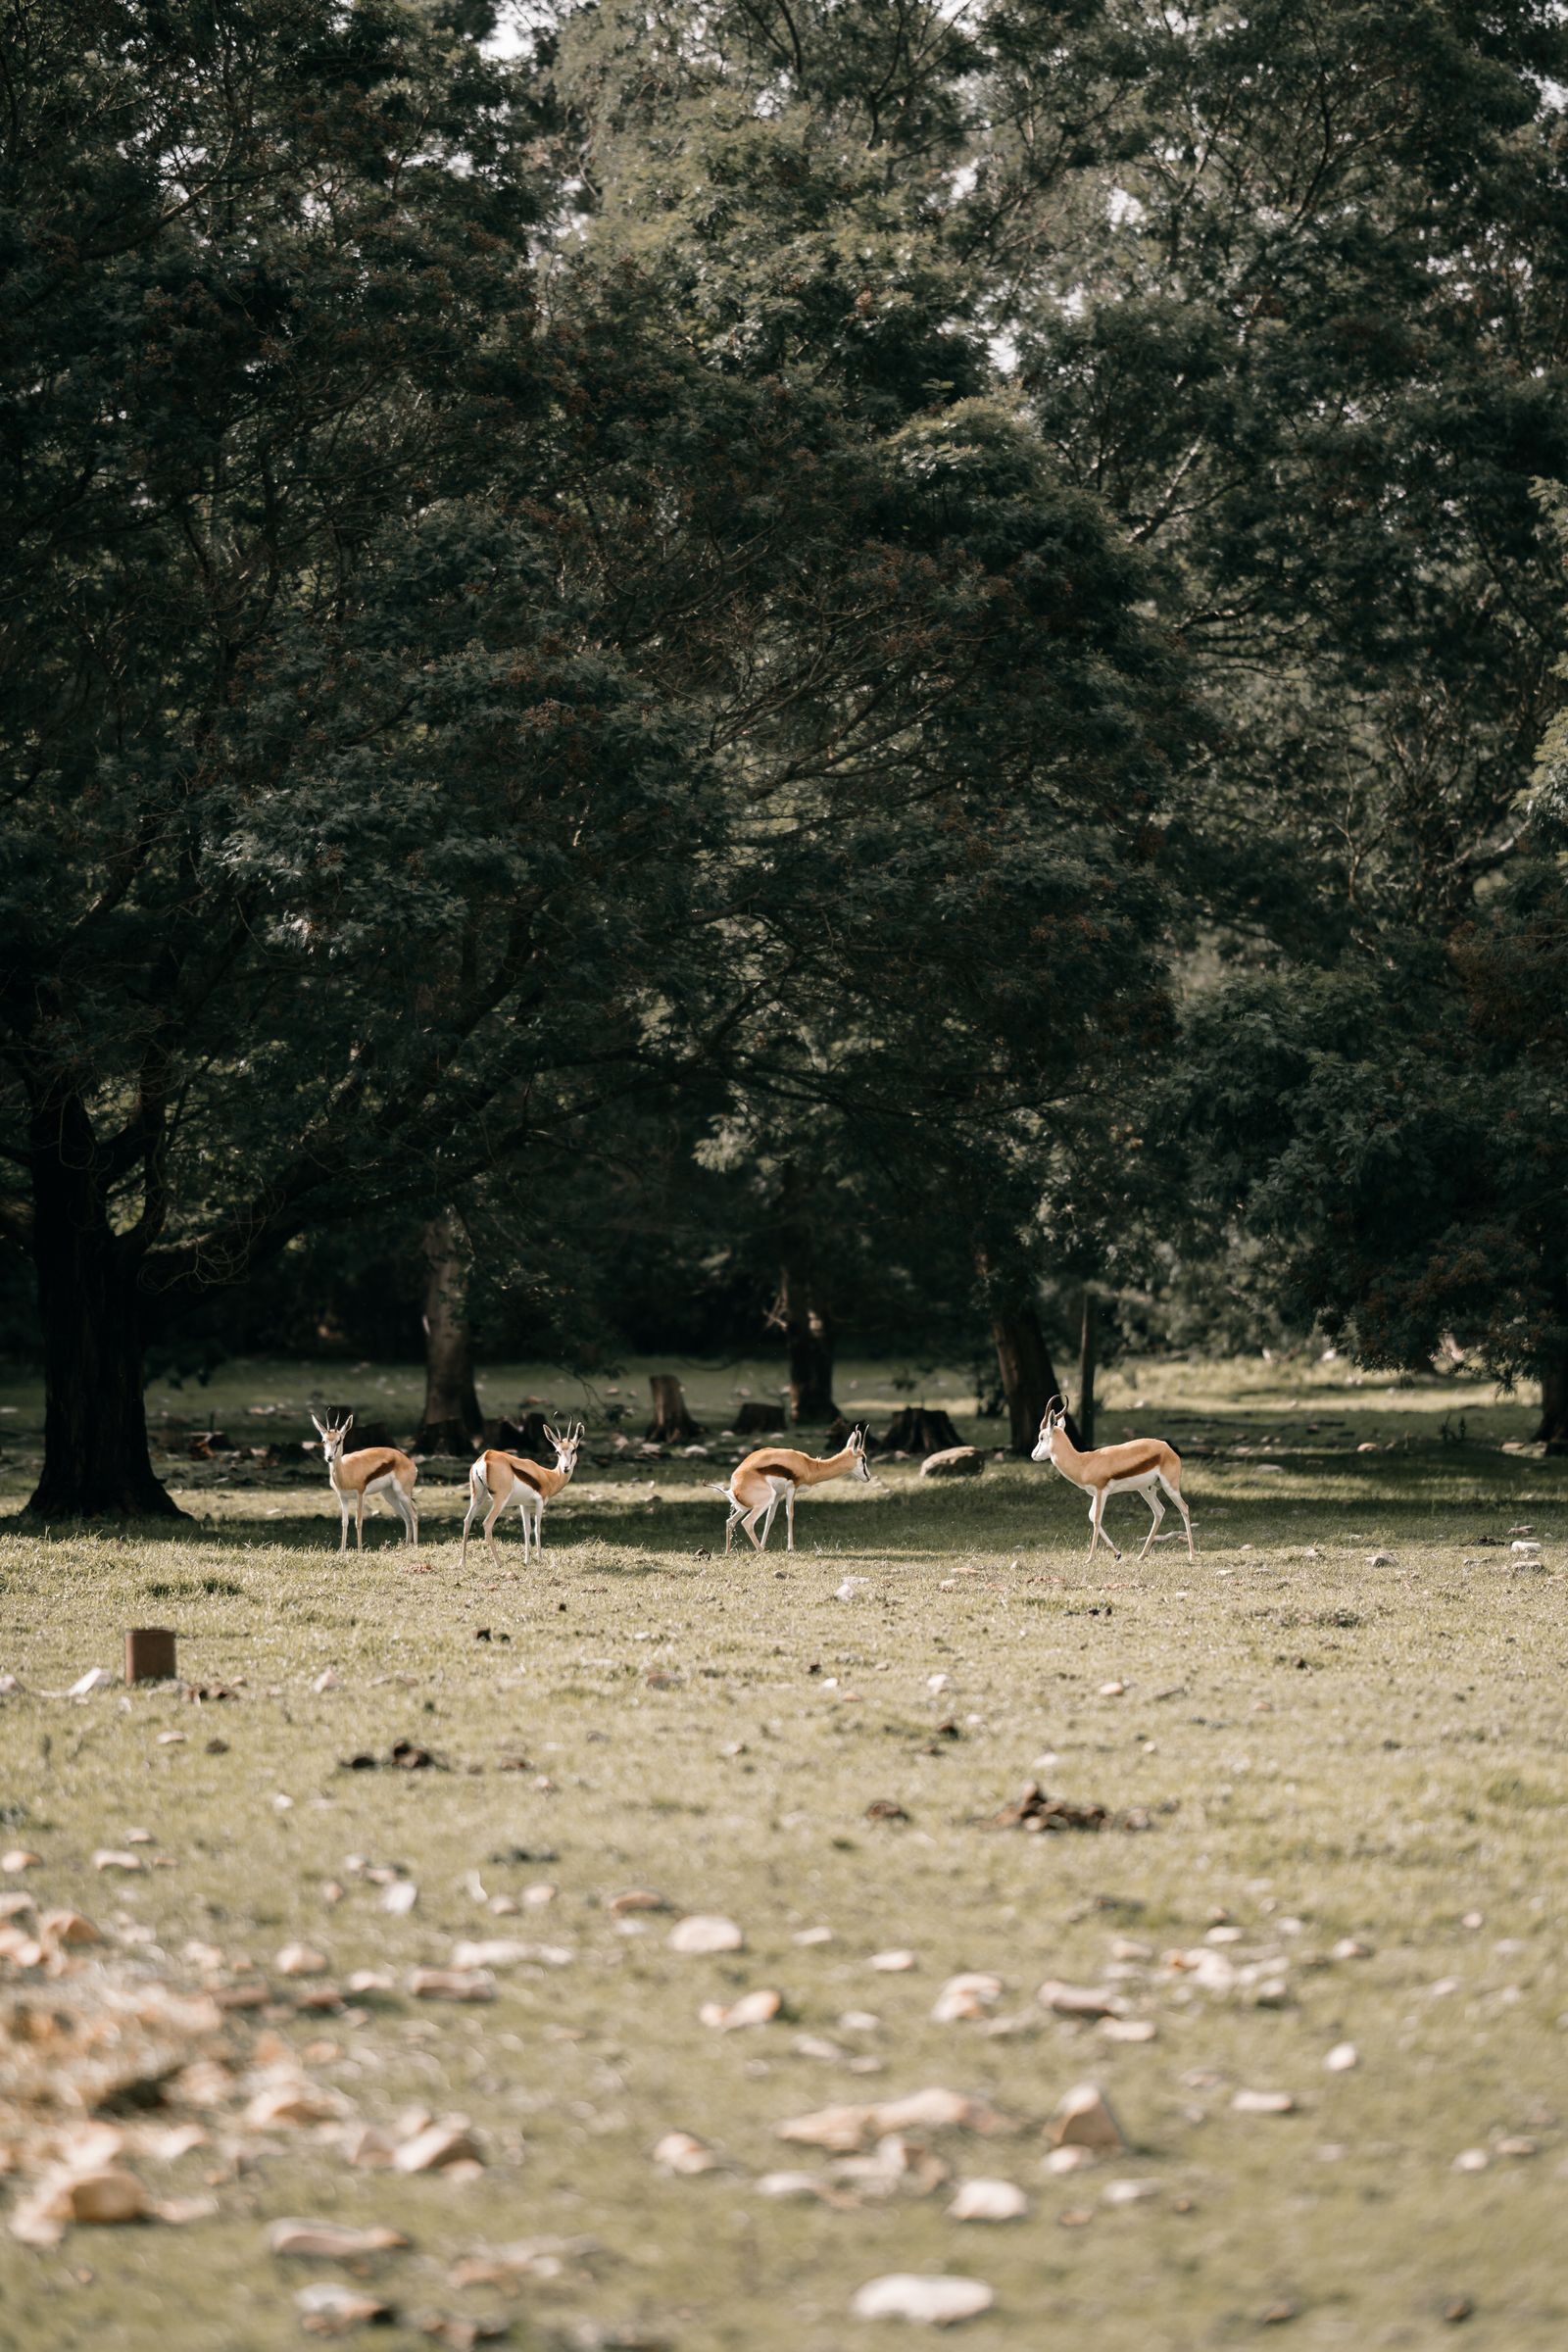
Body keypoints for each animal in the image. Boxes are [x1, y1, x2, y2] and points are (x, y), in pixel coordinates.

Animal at [311, 1413, 419, 1553]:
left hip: (403, 1494)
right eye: (324, 1441)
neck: (346, 1472)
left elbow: (358, 1521)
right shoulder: (343, 1497)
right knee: (406, 1517)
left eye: (339, 1440)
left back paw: (415, 1546)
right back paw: (406, 1547)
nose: (329, 1457)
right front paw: (342, 1551)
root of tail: (409, 1461)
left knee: (414, 1515)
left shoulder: (360, 1494)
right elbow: (344, 1522)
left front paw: (359, 1550)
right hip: (390, 1496)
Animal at [461, 1421, 584, 1566]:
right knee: (487, 1523)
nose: (565, 1468)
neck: (549, 1476)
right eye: (557, 1452)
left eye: (573, 1450)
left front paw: (527, 1561)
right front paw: (540, 1559)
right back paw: (499, 1562)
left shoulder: (524, 1505)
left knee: (467, 1520)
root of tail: (485, 1457)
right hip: (500, 1500)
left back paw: (462, 1563)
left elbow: (526, 1529)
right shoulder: (540, 1503)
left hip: (477, 1498)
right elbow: (537, 1529)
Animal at [720, 1426, 872, 1554]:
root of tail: (734, 1485)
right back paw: (762, 1551)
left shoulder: (779, 1494)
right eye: (863, 1459)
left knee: (730, 1521)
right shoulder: (791, 1489)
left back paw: (729, 1553)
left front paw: (765, 1544)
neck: (809, 1466)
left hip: (750, 1505)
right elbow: (790, 1514)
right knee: (747, 1522)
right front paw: (790, 1548)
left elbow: (770, 1518)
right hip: (764, 1500)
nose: (868, 1477)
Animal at [1031, 1394, 1193, 1562]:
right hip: (1145, 1489)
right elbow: (1091, 1516)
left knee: (1184, 1508)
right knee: (1159, 1511)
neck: (1084, 1463)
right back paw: (1141, 1556)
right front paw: (1117, 1553)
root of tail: (1168, 1448)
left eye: (1041, 1437)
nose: (1033, 1455)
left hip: (1170, 1487)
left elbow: (1096, 1520)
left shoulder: (1101, 1491)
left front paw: (1090, 1558)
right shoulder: (1095, 1494)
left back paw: (1191, 1555)